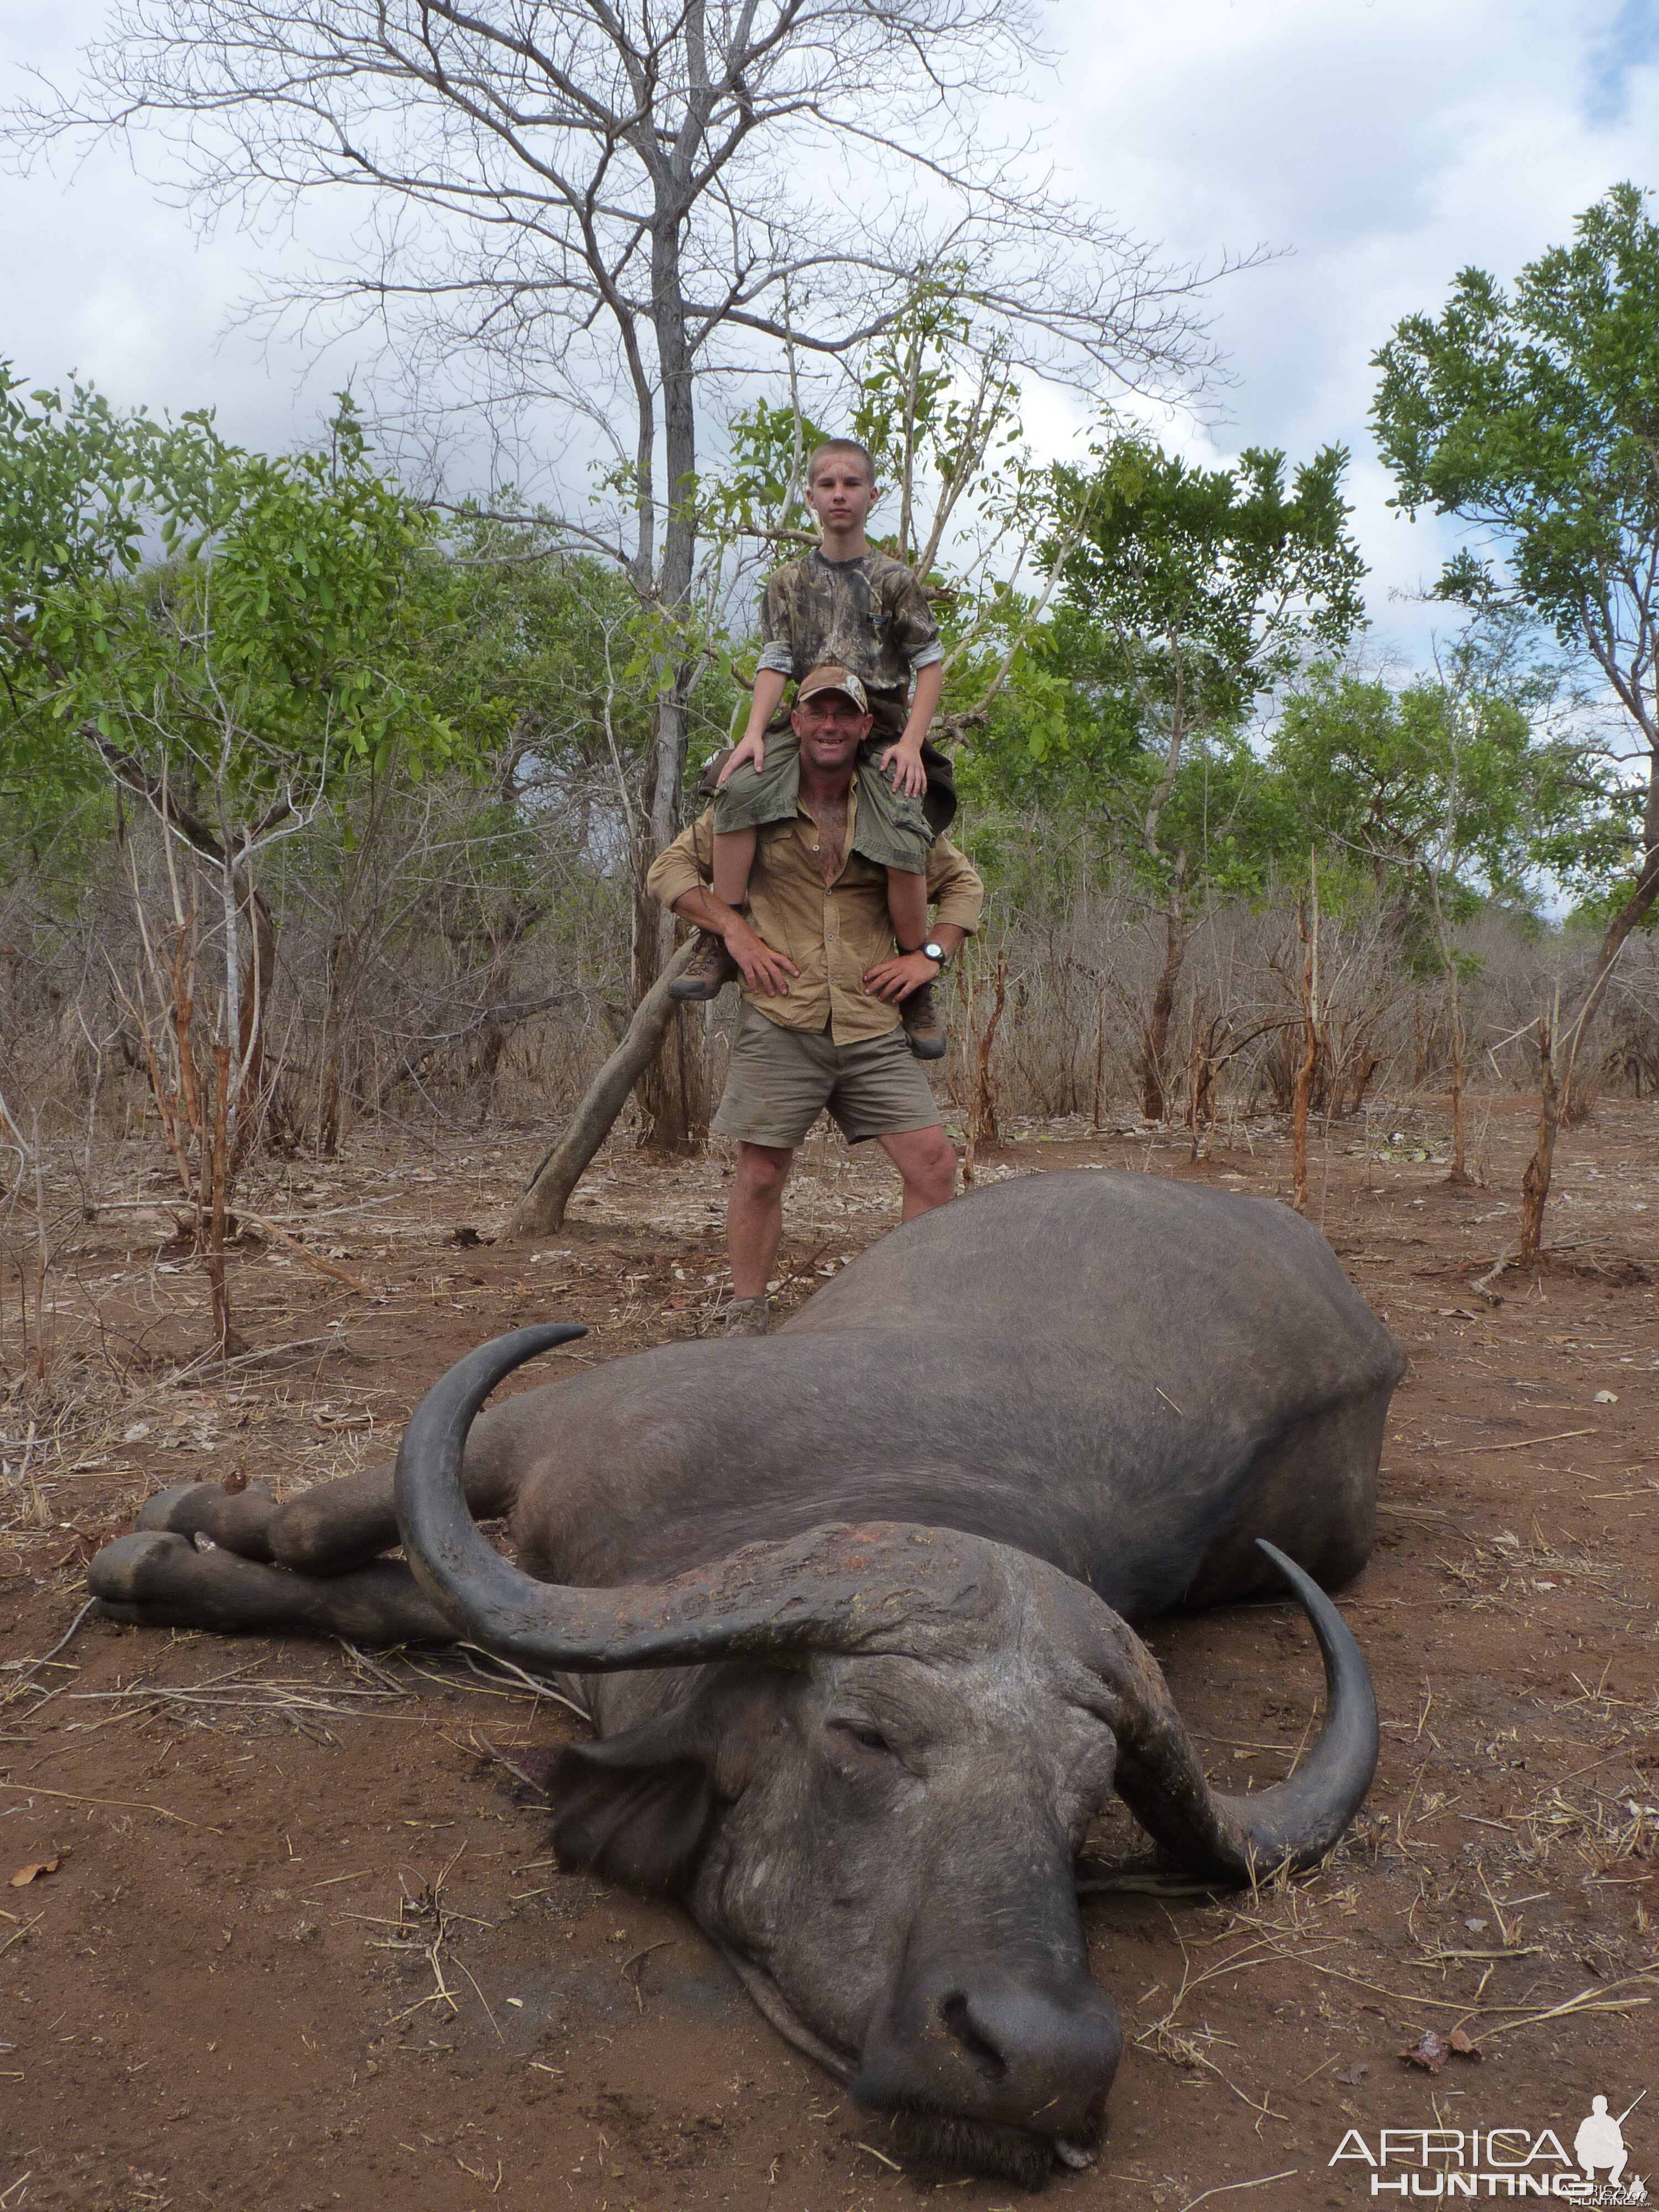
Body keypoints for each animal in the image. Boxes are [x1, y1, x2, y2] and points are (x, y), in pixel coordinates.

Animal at [88, 1168, 1407, 2185]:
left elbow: (377, 1585)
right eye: (866, 1737)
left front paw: (165, 1552)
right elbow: (315, 1530)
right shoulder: (536, 1431)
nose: (1044, 2061)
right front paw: (166, 1530)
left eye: (1085, 1803)